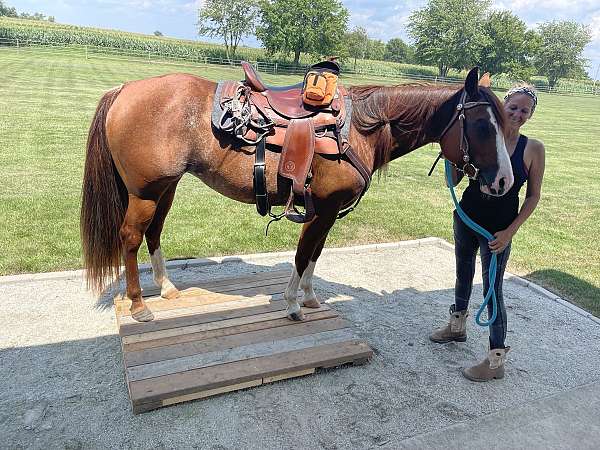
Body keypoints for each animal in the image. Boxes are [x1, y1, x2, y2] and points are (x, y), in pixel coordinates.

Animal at [78, 67, 510, 322]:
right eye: (482, 126)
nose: (504, 182)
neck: (361, 128)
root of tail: (124, 89)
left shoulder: (326, 212)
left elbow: (314, 255)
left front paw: (310, 297)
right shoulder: (323, 209)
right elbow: (303, 255)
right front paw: (291, 304)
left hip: (164, 188)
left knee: (153, 233)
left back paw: (167, 288)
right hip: (145, 191)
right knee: (130, 237)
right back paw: (139, 305)